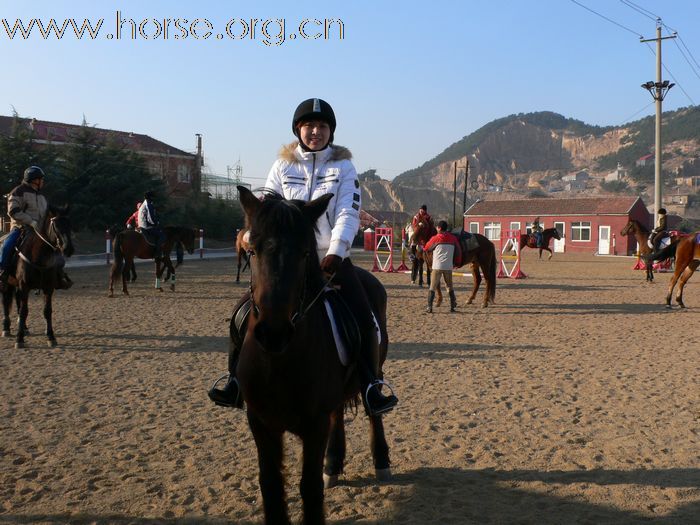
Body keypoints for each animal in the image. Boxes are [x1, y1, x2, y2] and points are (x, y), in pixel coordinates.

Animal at [1, 208, 74, 348]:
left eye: (70, 224)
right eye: (56, 226)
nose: (68, 249)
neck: (38, 255)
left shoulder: (48, 288)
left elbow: (47, 311)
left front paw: (51, 337)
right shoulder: (24, 286)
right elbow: (24, 311)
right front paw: (19, 339)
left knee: (17, 302)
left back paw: (24, 328)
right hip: (6, 283)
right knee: (6, 302)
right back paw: (6, 328)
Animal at [234, 186, 388, 520]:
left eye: (305, 253)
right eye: (252, 251)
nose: (274, 332)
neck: (278, 362)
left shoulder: (314, 425)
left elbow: (310, 488)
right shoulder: (261, 422)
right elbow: (271, 487)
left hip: (375, 370)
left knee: (373, 411)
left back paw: (381, 461)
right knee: (338, 412)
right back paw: (333, 462)